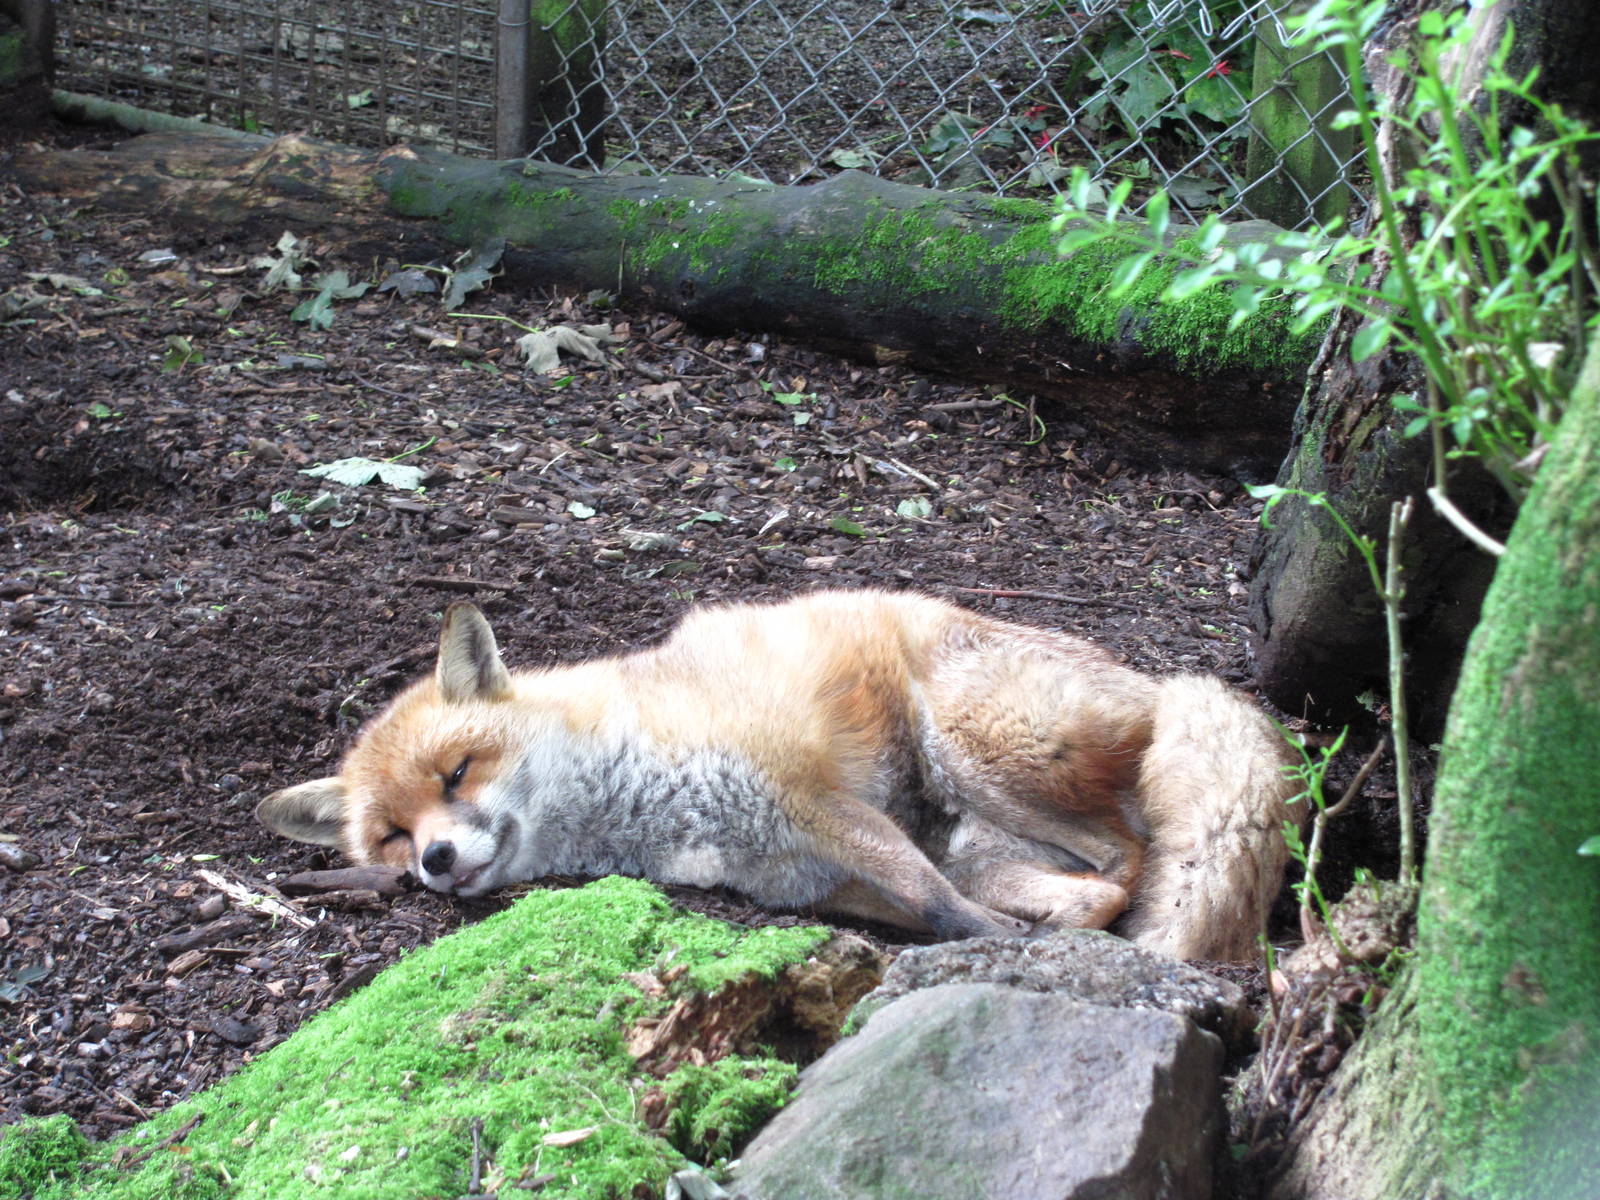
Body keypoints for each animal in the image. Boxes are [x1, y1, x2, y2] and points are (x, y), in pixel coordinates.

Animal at [257, 589, 1299, 960]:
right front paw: (984, 940)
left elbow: (938, 908)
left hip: (977, 754)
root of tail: (1164, 681)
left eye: (458, 772)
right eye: (390, 834)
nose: (432, 862)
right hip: (973, 835)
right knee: (1094, 880)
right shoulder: (816, 877)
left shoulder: (816, 801)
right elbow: (927, 908)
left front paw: (989, 949)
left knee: (1126, 860)